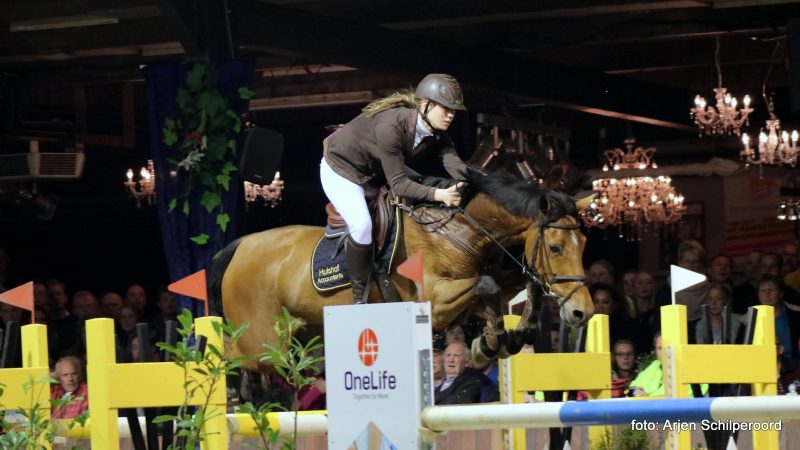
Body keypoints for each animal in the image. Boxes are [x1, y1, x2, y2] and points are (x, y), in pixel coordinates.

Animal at [209, 171, 596, 368]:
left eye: (584, 244)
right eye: (555, 247)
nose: (583, 313)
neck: (461, 230)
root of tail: (239, 246)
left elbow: (518, 286)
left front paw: (505, 337)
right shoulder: (435, 302)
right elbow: (486, 285)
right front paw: (493, 341)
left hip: (300, 335)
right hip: (262, 344)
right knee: (230, 359)